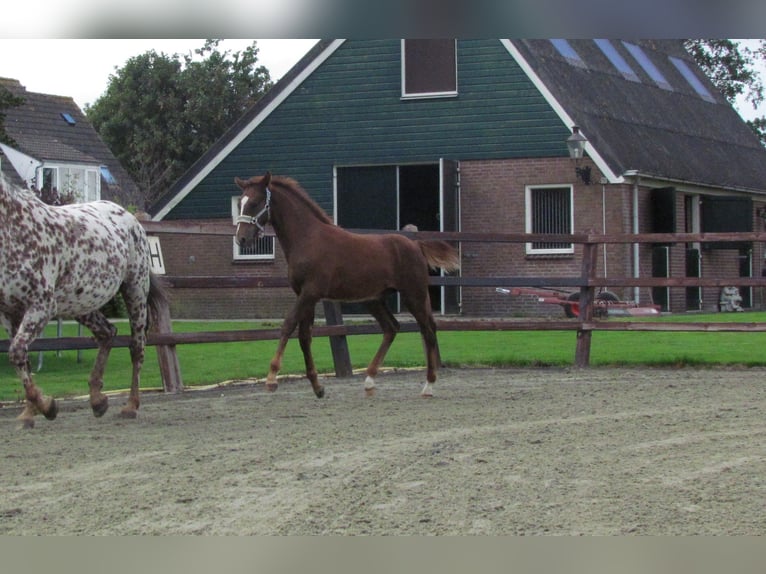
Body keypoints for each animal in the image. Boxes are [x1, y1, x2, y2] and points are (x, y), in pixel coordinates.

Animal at [0, 178, 167, 430]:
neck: (16, 231)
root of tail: (130, 217)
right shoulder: (9, 313)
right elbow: (22, 358)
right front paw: (29, 414)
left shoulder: (41, 306)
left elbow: (17, 352)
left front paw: (47, 407)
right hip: (80, 305)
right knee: (107, 333)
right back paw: (97, 401)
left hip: (135, 290)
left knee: (136, 348)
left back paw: (130, 406)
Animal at [234, 171, 462, 400]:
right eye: (240, 203)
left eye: (255, 202)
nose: (241, 239)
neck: (308, 239)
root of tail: (416, 245)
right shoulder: (305, 295)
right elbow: (305, 336)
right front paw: (318, 387)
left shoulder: (310, 293)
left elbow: (288, 325)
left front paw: (272, 379)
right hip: (374, 300)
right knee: (392, 328)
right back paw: (369, 382)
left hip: (414, 294)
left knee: (428, 329)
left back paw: (428, 386)